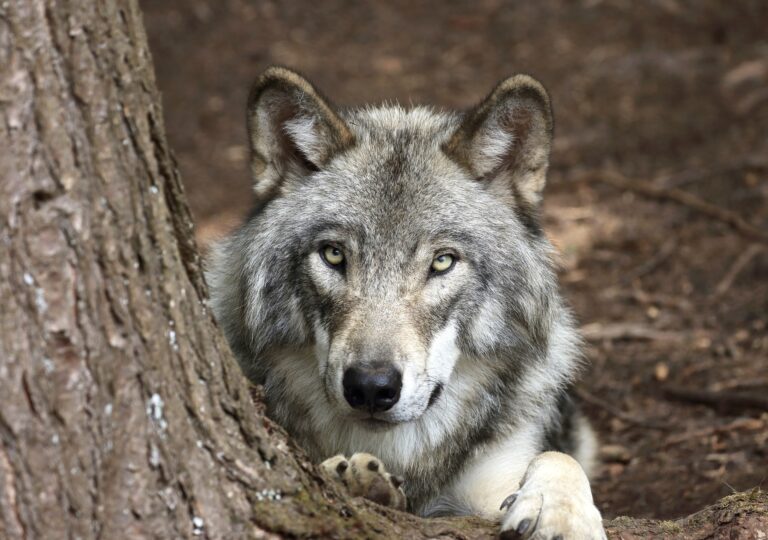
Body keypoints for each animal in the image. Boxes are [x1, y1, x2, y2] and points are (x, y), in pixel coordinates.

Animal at [206, 66, 606, 538]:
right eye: (334, 255)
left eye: (442, 261)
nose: (370, 387)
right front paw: (359, 480)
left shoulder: (492, 482)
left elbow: (557, 458)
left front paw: (560, 512)